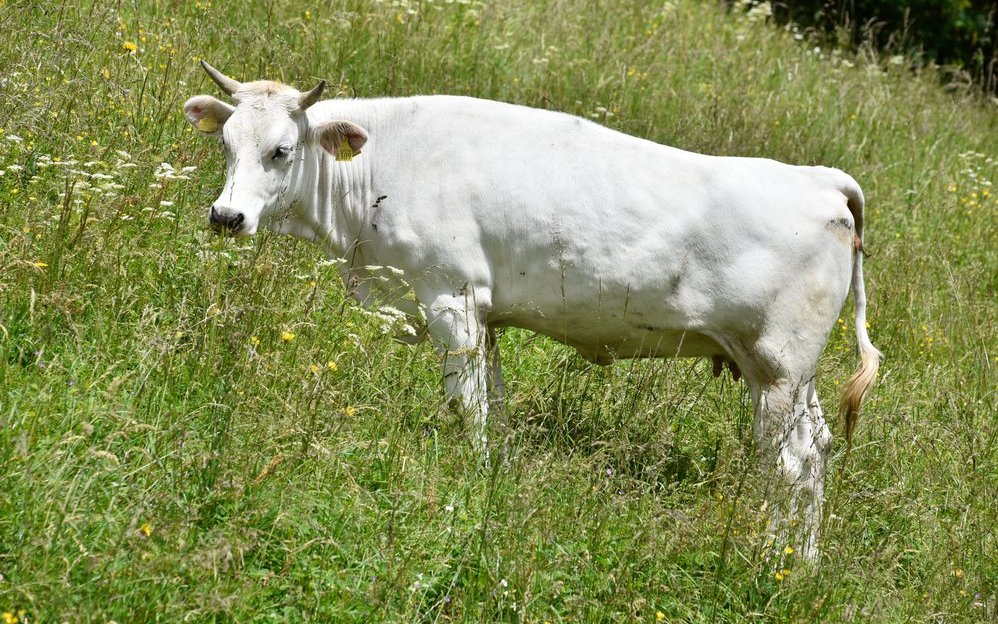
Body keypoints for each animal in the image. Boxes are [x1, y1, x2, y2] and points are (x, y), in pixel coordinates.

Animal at [186, 62, 884, 560]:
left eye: (281, 150)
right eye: (226, 143)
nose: (227, 216)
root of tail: (818, 178)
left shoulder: (450, 297)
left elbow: (468, 403)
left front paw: (471, 482)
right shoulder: (484, 317)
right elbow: (492, 402)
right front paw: (495, 473)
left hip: (777, 366)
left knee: (788, 463)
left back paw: (771, 558)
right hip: (791, 372)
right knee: (817, 454)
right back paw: (803, 562)